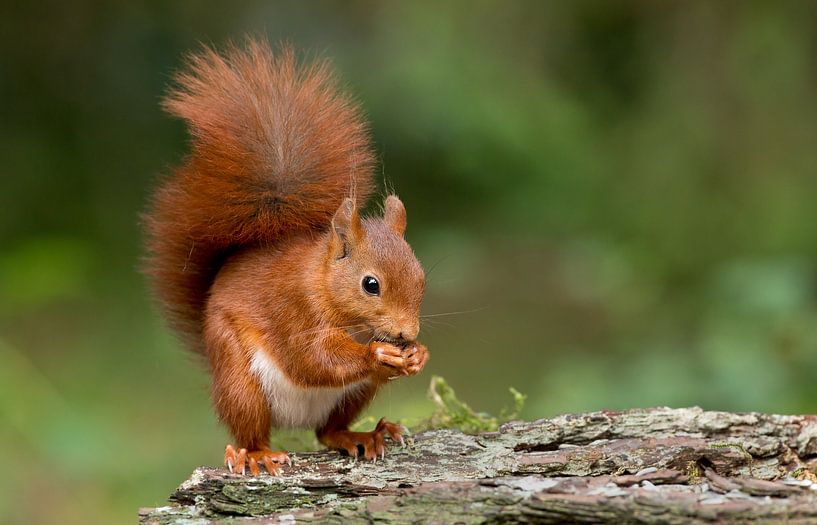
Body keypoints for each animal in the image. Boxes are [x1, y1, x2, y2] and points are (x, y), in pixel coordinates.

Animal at [144, 40, 430, 474]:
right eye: (371, 284)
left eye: (422, 278)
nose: (406, 335)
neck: (323, 282)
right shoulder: (294, 309)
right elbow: (311, 358)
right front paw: (378, 353)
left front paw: (418, 355)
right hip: (239, 378)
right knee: (251, 429)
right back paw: (257, 455)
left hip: (354, 394)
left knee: (327, 431)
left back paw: (363, 434)